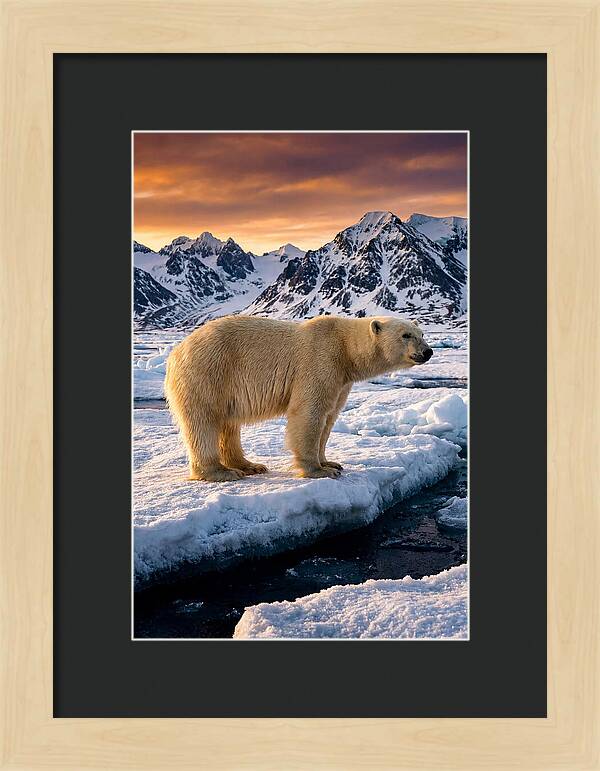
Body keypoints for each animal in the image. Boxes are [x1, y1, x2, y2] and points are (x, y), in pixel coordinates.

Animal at [164, 315, 433, 482]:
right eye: (406, 335)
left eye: (421, 333)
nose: (428, 351)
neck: (345, 349)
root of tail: (176, 352)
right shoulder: (320, 360)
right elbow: (309, 413)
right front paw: (318, 471)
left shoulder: (341, 380)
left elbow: (329, 417)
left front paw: (331, 463)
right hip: (208, 372)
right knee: (204, 421)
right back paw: (221, 472)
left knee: (229, 425)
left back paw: (249, 465)